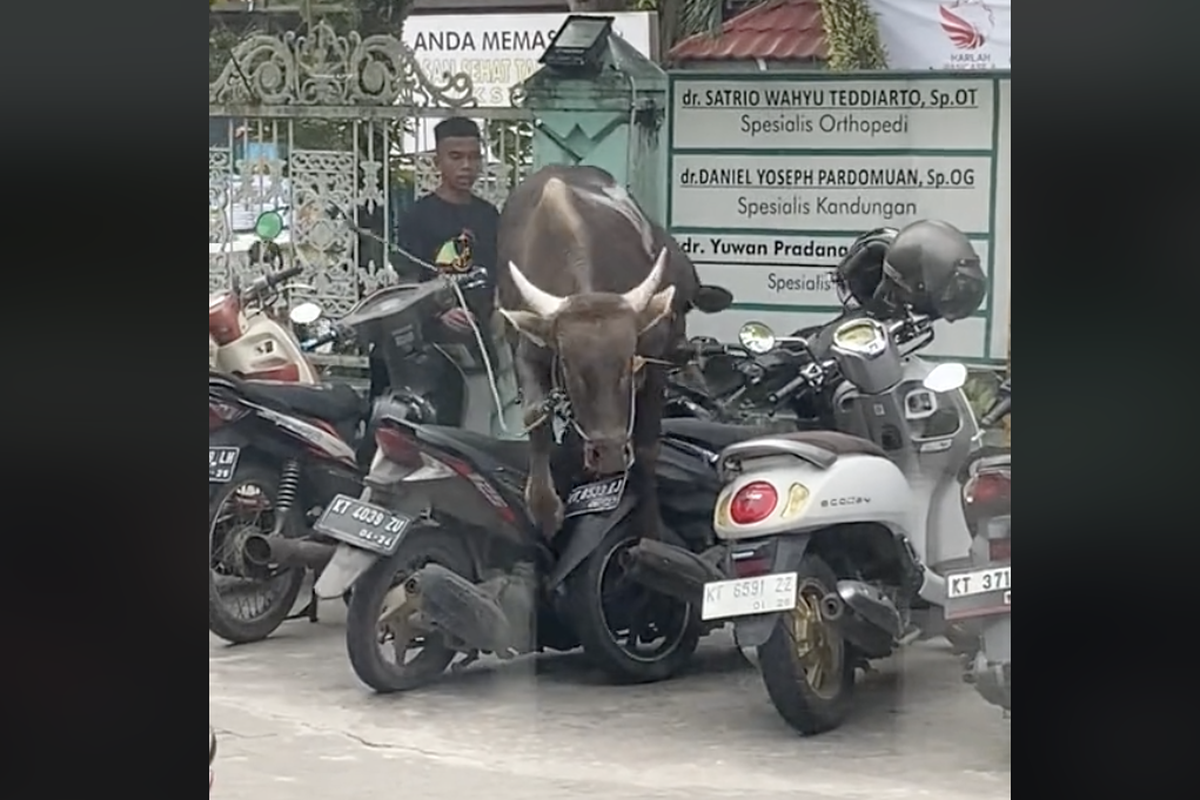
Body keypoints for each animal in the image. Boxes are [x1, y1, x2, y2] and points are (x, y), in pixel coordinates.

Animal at [499, 163, 700, 542]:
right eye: (567, 363)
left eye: (631, 362)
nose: (608, 455)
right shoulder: (527, 349)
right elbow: (535, 415)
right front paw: (545, 509)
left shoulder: (655, 358)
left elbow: (648, 448)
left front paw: (650, 528)